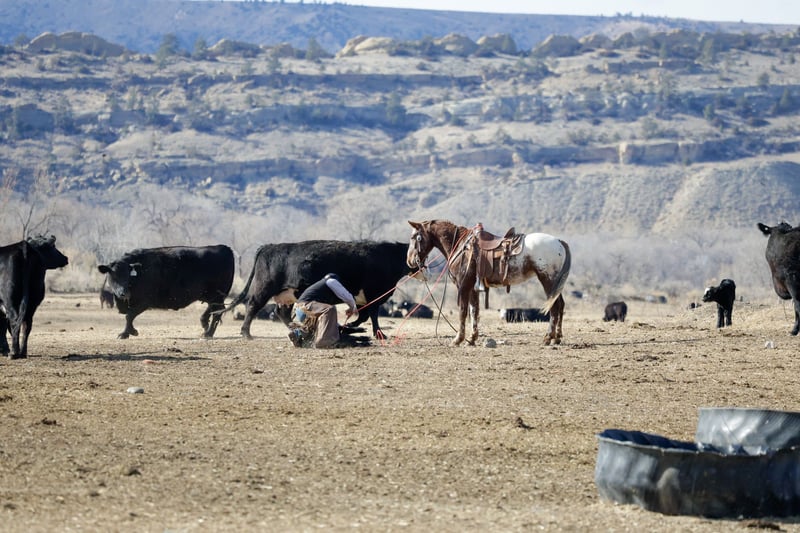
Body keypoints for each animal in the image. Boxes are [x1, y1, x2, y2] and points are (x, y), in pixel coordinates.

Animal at [97, 245, 234, 339]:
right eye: (114, 275)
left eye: (128, 275)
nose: (124, 293)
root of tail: (223, 247)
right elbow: (129, 316)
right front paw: (131, 331)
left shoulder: (144, 301)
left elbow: (129, 315)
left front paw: (126, 333)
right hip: (212, 296)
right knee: (214, 310)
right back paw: (205, 327)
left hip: (216, 296)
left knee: (217, 312)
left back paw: (208, 333)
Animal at [221, 240, 411, 340]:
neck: (389, 256)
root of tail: (270, 246)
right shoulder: (374, 294)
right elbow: (372, 315)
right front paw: (379, 334)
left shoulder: (365, 298)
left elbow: (364, 315)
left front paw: (350, 326)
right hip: (265, 288)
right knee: (253, 306)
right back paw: (246, 333)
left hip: (288, 294)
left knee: (282, 312)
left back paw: (294, 328)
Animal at [406, 219, 571, 346]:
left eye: (415, 237)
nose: (410, 261)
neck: (461, 247)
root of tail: (559, 241)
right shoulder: (473, 288)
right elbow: (474, 311)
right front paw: (471, 339)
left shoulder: (463, 286)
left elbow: (463, 311)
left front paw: (458, 339)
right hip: (555, 282)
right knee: (560, 304)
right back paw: (557, 337)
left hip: (547, 280)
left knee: (554, 307)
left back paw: (548, 337)